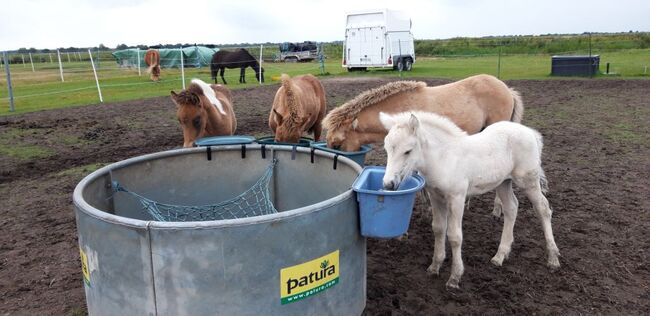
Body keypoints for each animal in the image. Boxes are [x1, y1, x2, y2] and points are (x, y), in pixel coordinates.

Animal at [380, 111, 556, 288]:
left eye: (408, 151)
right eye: (387, 148)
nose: (389, 184)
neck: (444, 158)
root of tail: (530, 132)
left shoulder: (457, 198)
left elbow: (455, 236)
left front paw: (454, 277)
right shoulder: (436, 196)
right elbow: (438, 229)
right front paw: (435, 266)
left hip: (528, 181)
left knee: (543, 208)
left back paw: (553, 257)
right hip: (503, 182)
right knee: (511, 208)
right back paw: (500, 255)